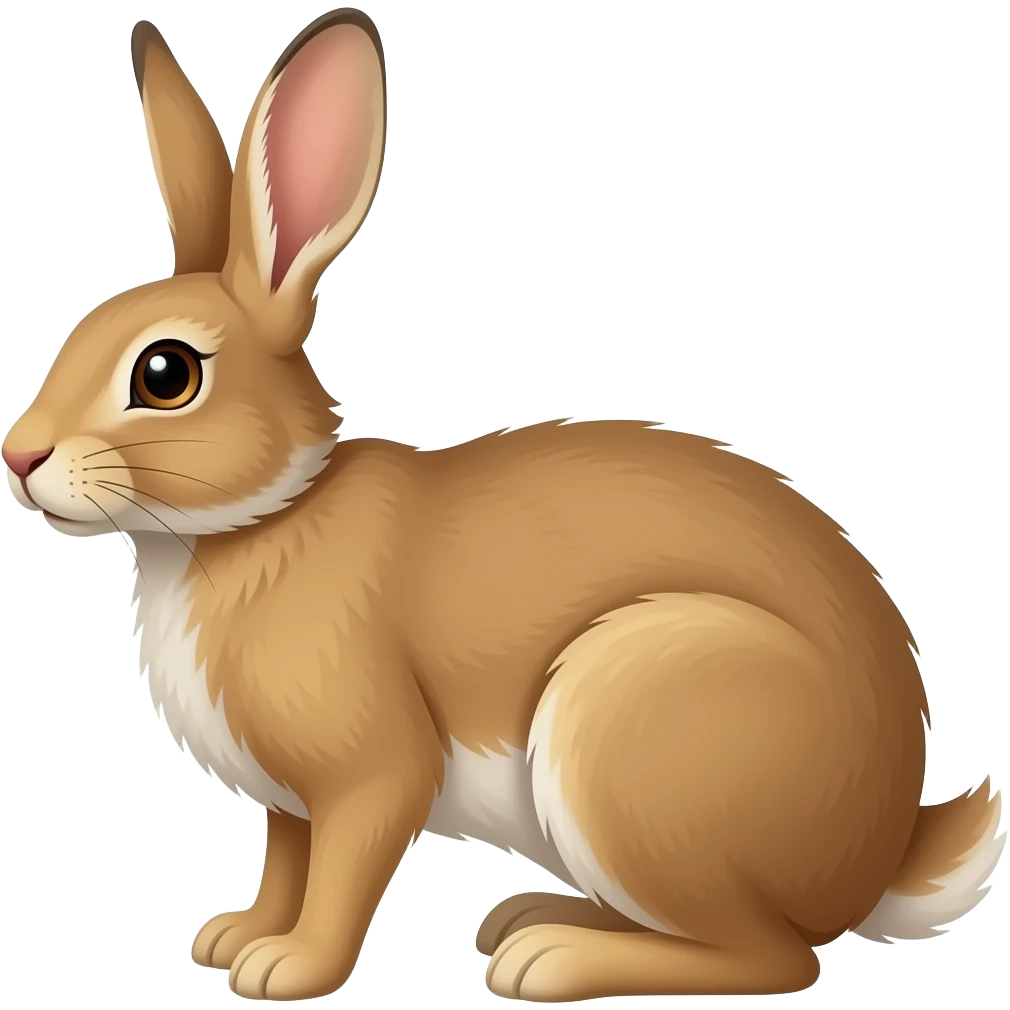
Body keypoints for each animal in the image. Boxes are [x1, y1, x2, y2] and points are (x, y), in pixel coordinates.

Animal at [2, 10, 1005, 1004]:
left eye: (165, 375)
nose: (19, 453)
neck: (260, 522)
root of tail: (880, 854)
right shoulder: (289, 803)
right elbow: (287, 862)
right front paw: (236, 937)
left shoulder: (371, 771)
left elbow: (341, 874)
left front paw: (288, 969)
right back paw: (529, 918)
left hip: (628, 730)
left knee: (775, 957)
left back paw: (550, 960)